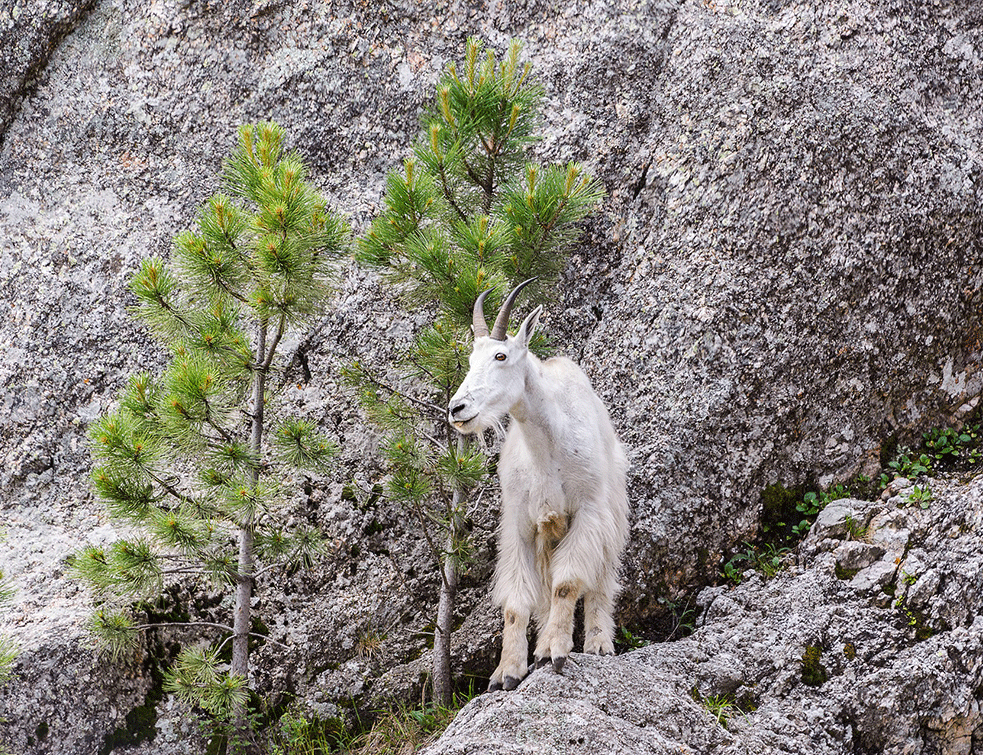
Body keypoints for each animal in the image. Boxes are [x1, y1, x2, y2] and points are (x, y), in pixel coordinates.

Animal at [448, 280, 632, 692]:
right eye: (470, 360)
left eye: (501, 356)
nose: (457, 409)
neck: (547, 449)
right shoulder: (521, 522)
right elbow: (518, 602)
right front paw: (507, 671)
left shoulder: (587, 512)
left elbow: (568, 583)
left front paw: (555, 650)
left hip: (611, 510)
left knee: (601, 580)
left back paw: (597, 642)